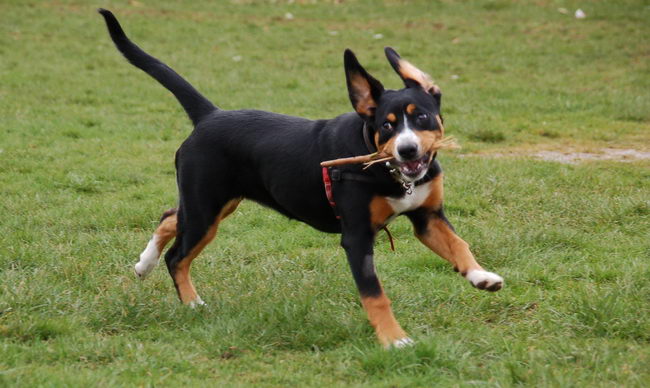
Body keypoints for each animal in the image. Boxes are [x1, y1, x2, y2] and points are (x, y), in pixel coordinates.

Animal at [97, 8, 502, 348]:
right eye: (386, 126)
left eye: (421, 118)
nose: (407, 150)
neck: (386, 171)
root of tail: (211, 114)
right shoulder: (357, 237)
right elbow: (374, 294)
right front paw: (395, 340)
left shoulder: (428, 217)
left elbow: (459, 245)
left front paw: (481, 276)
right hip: (205, 208)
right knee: (177, 255)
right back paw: (191, 302)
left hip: (212, 203)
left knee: (170, 218)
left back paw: (143, 264)